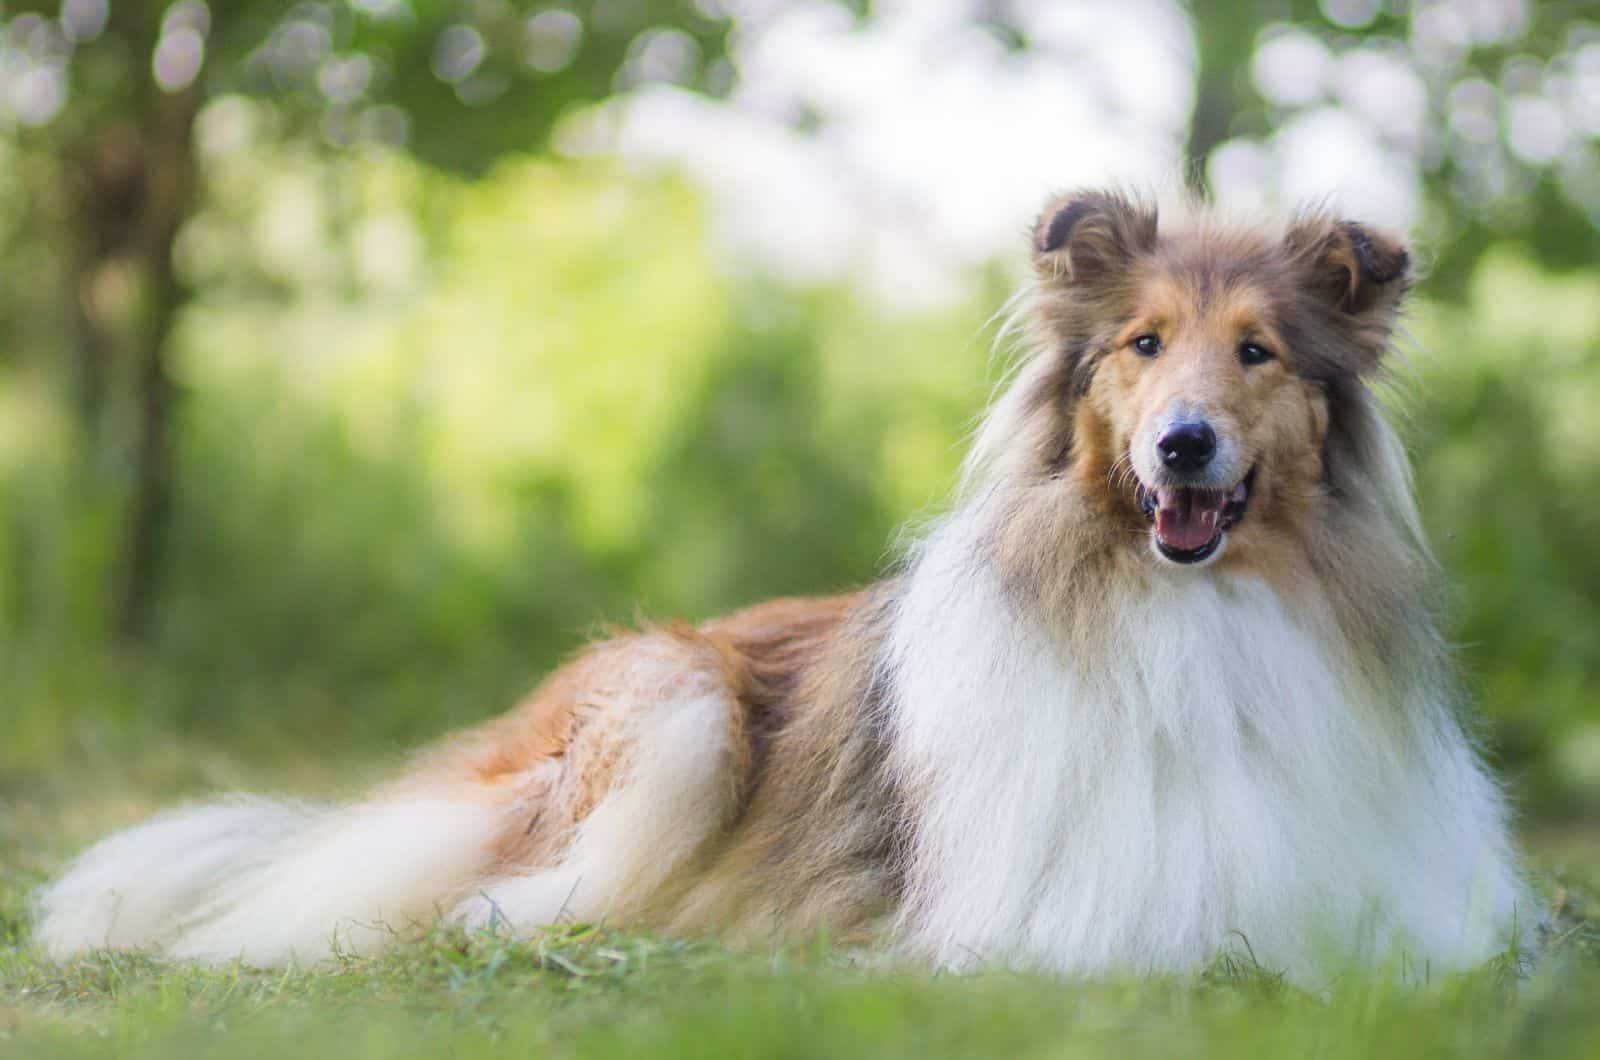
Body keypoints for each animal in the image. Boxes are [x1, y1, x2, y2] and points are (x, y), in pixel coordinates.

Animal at [34, 191, 1536, 986]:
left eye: (1259, 352)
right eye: (1144, 346)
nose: (1183, 445)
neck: (1191, 614)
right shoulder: (1043, 922)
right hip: (679, 708)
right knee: (471, 902)